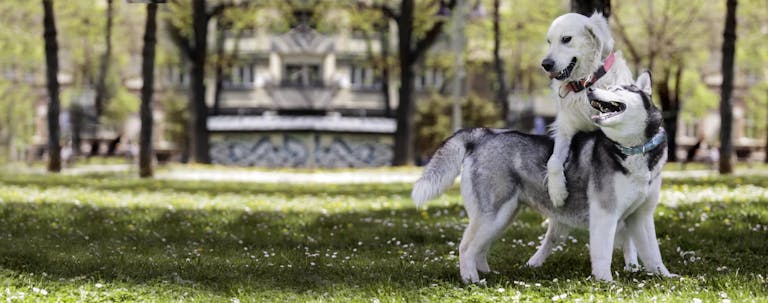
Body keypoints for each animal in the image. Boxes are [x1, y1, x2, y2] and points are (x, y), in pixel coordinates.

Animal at [536, 11, 632, 208]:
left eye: (566, 39)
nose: (545, 64)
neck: (584, 83)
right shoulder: (564, 130)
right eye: (549, 41)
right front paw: (557, 192)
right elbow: (553, 162)